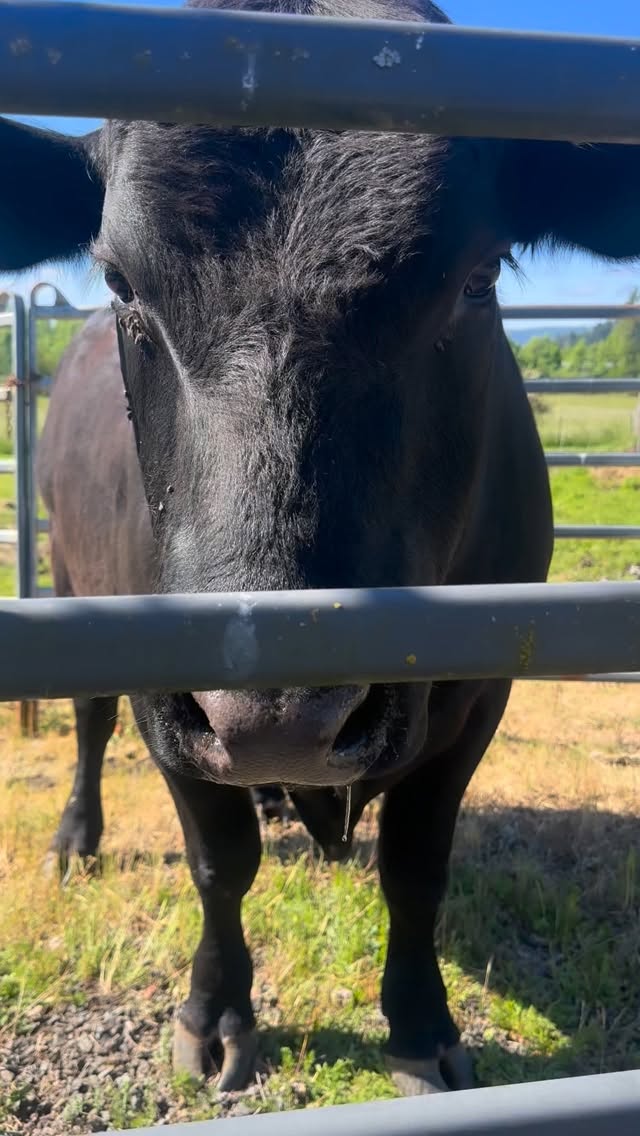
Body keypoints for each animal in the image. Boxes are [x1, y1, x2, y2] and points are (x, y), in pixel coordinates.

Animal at [2, 0, 639, 1099]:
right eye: (120, 280)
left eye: (478, 277)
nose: (278, 715)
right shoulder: (165, 692)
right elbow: (220, 860)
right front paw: (214, 1013)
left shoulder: (479, 685)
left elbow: (417, 864)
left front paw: (420, 1022)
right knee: (87, 724)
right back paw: (77, 839)